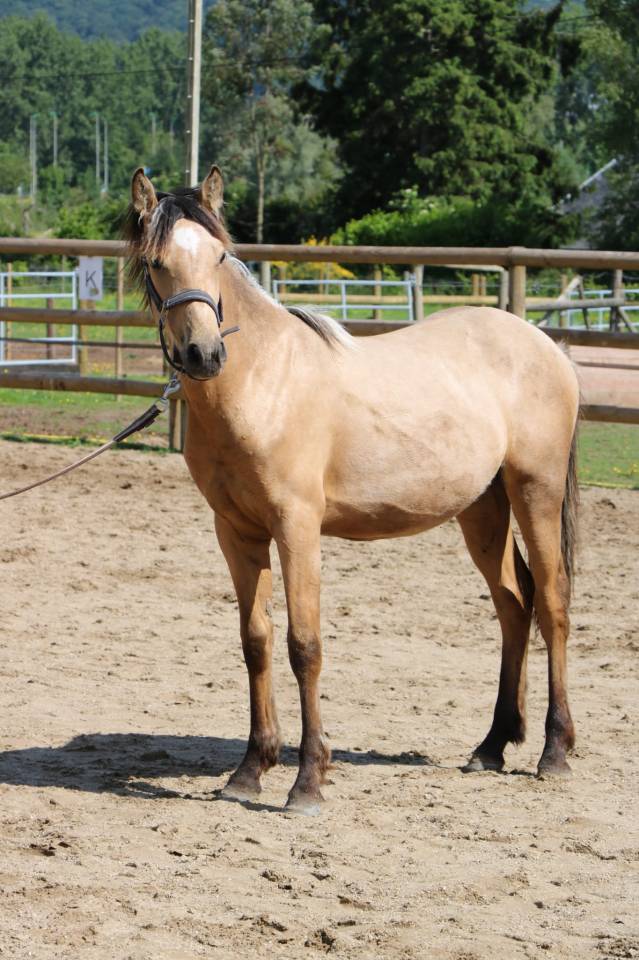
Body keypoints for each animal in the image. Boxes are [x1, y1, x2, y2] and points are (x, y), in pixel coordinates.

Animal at [125, 164, 580, 815]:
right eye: (157, 261)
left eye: (219, 256)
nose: (204, 354)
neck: (263, 382)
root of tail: (547, 346)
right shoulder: (236, 532)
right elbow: (256, 641)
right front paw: (249, 770)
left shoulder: (297, 527)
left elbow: (304, 646)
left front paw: (308, 781)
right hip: (482, 510)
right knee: (514, 606)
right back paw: (492, 745)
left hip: (535, 489)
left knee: (554, 603)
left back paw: (554, 751)